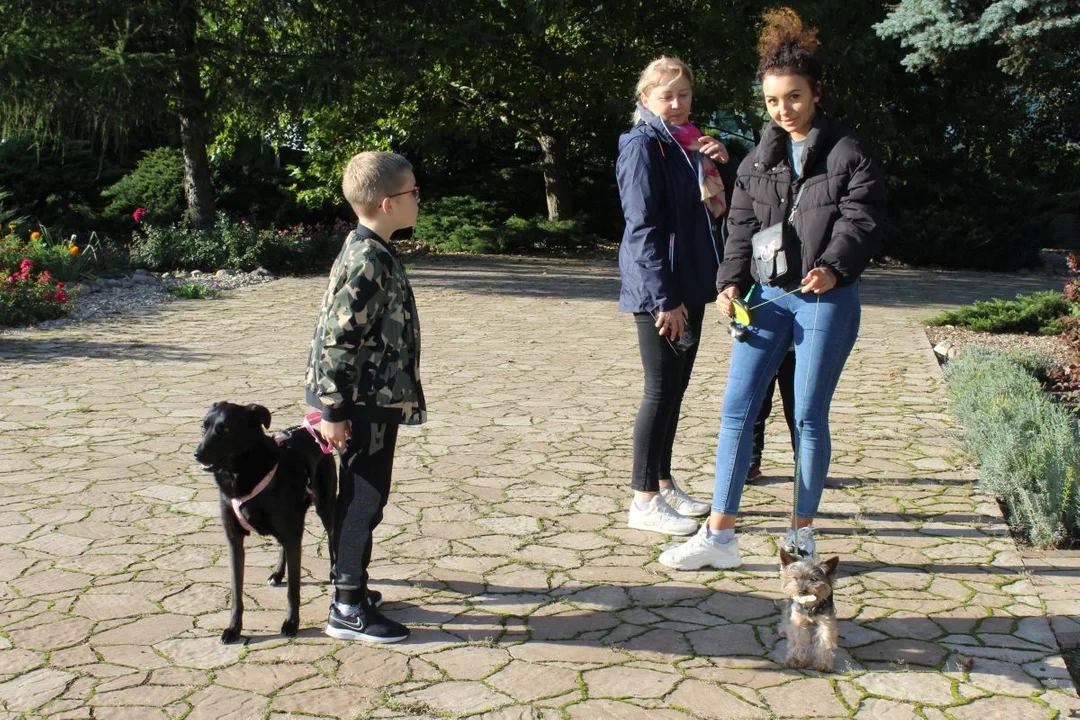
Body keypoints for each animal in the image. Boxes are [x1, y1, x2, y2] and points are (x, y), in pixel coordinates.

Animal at [195, 403, 336, 643]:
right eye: (204, 426)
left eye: (225, 430)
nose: (197, 454)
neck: (241, 472)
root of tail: (314, 433)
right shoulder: (234, 540)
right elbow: (236, 592)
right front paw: (233, 628)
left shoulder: (291, 532)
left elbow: (293, 590)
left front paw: (291, 623)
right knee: (283, 546)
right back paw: (278, 574)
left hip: (324, 508)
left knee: (333, 535)